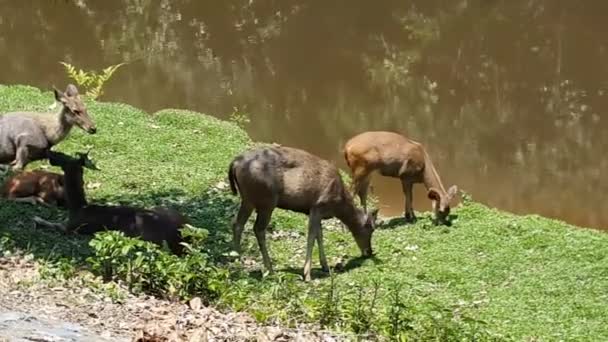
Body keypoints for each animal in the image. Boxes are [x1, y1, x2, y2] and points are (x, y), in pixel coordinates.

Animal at [30, 151, 186, 255]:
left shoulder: (71, 228)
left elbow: (51, 224)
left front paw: (36, 219)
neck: (79, 207)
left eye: (63, 156)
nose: (50, 153)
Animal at [228, 144, 378, 280]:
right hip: (266, 200)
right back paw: (269, 269)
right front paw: (307, 274)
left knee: (237, 223)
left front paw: (325, 266)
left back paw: (238, 259)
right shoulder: (318, 206)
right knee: (258, 229)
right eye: (371, 229)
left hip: (248, 199)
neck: (338, 205)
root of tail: (235, 163)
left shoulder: (314, 211)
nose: (369, 251)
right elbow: (311, 237)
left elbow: (319, 236)